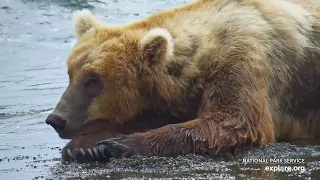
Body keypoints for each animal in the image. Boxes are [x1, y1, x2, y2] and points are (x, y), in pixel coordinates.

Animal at [44, 0, 320, 162]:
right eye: (70, 73)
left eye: (93, 80)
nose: (56, 119)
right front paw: (85, 145)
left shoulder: (244, 58)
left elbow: (235, 122)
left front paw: (121, 144)